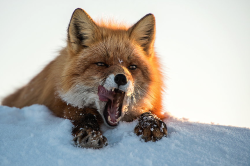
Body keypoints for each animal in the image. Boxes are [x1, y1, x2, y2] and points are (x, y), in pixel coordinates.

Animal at [2, 8, 168, 148]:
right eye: (101, 64)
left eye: (132, 67)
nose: (121, 78)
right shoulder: (58, 102)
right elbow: (80, 113)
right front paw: (91, 133)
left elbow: (149, 112)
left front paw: (151, 124)